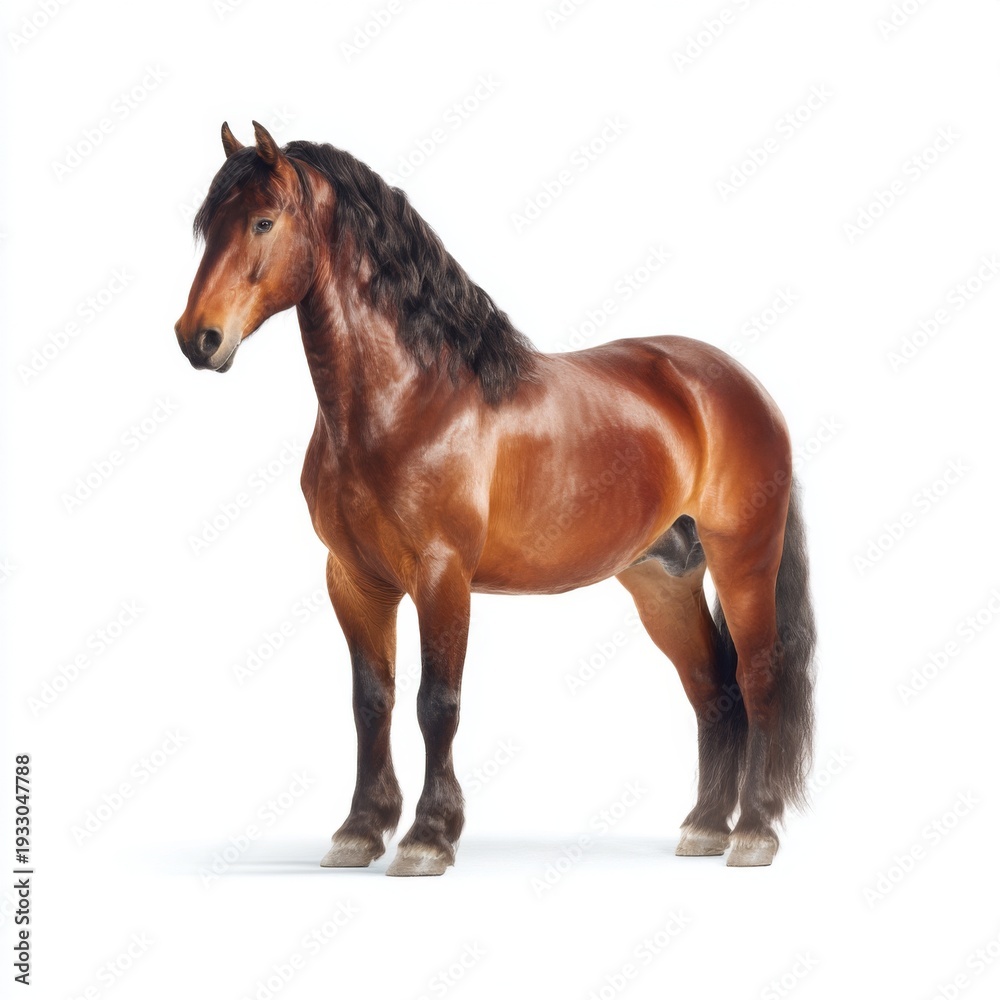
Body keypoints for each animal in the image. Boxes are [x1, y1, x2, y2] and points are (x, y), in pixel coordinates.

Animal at [175, 121, 816, 876]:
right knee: (712, 687)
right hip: (663, 579)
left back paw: (755, 832)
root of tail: (738, 383)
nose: (198, 338)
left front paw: (428, 836)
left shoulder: (442, 575)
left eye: (263, 221)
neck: (407, 399)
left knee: (759, 678)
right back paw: (706, 827)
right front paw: (360, 829)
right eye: (207, 225)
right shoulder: (354, 580)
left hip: (744, 562)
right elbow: (372, 701)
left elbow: (436, 703)